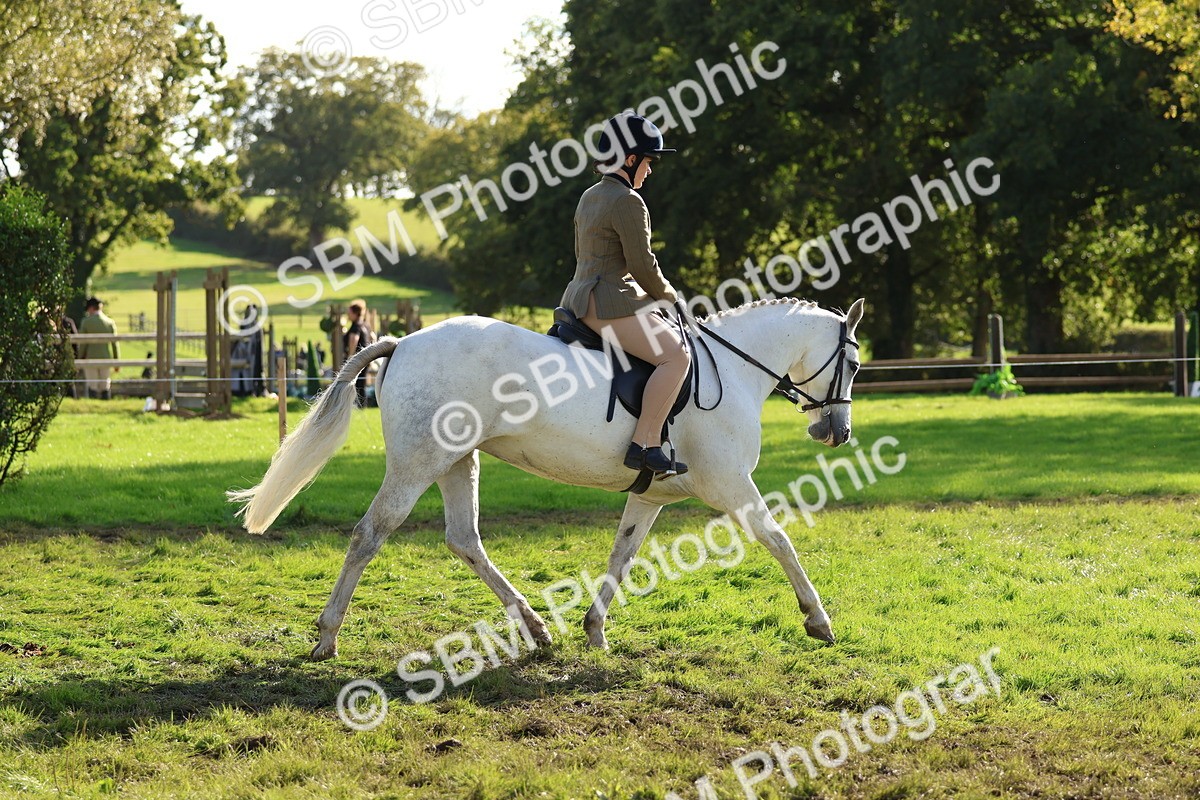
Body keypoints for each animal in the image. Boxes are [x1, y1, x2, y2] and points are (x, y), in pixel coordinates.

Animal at [228, 297, 865, 661]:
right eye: (854, 363)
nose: (836, 431)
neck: (731, 368)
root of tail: (402, 341)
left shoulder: (652, 496)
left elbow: (621, 555)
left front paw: (595, 630)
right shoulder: (731, 484)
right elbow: (779, 540)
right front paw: (819, 621)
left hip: (458, 460)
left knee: (464, 539)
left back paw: (536, 629)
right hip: (417, 463)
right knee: (370, 534)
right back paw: (327, 637)